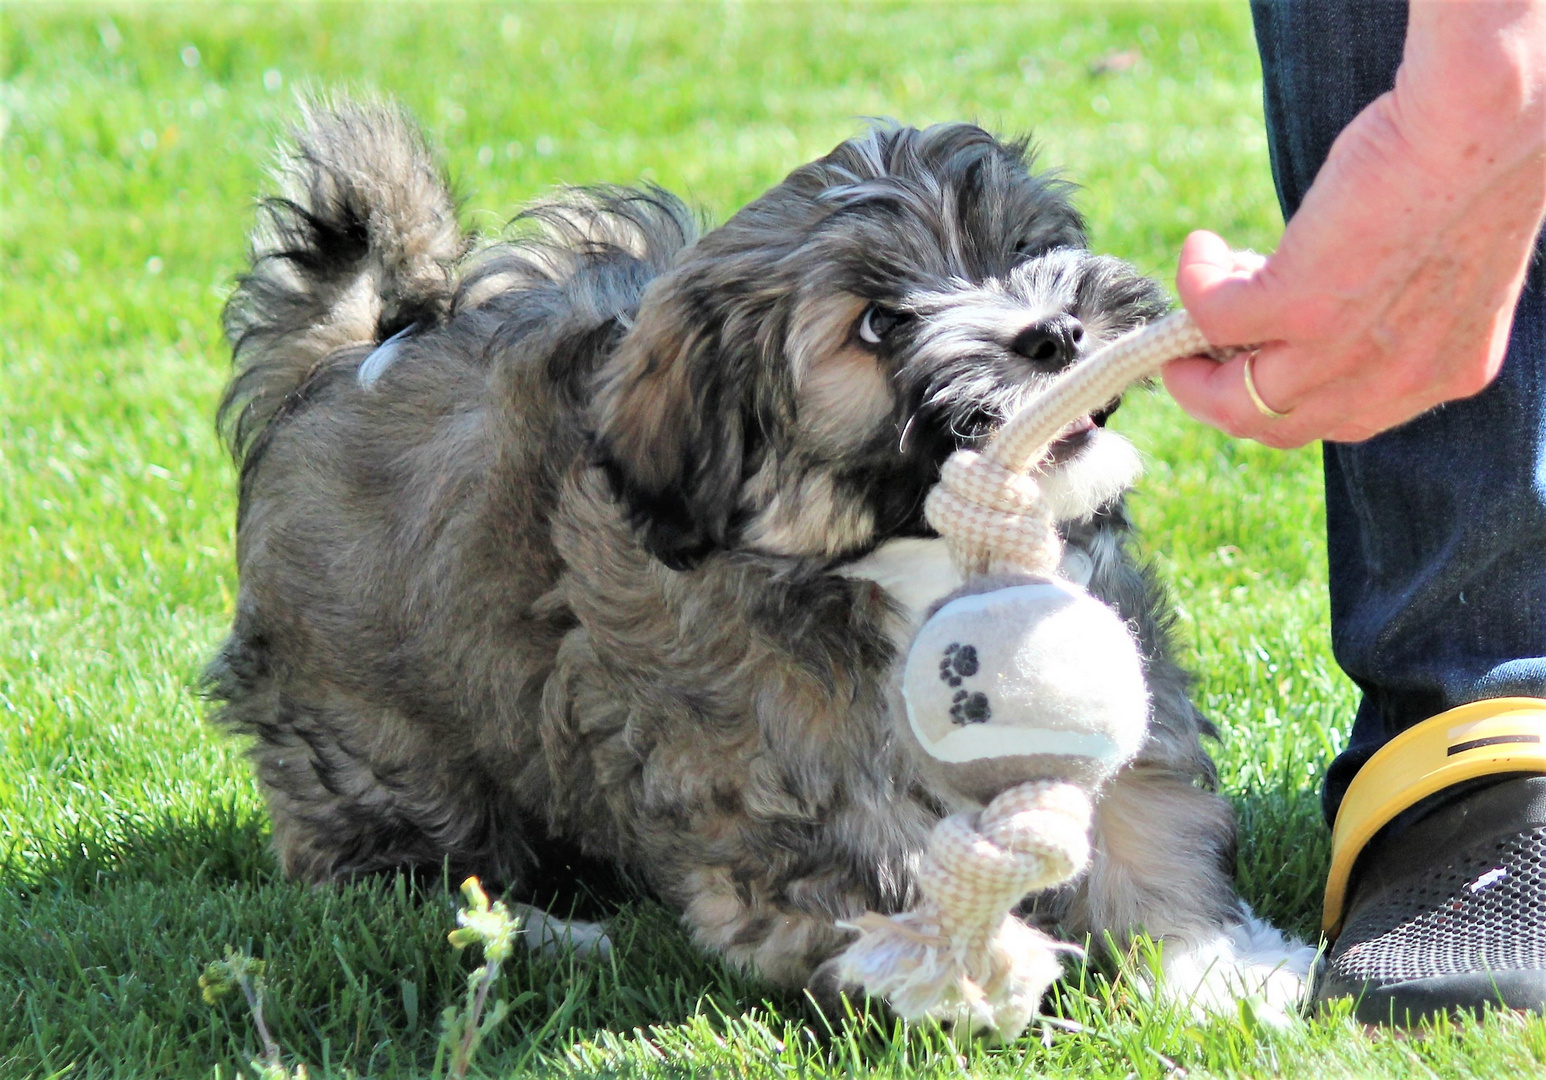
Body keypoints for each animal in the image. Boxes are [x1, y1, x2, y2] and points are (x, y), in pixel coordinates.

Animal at [205, 99, 1311, 1013]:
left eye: (1023, 250)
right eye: (879, 322)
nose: (1052, 334)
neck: (913, 561)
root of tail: (345, 363)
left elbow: (1148, 822)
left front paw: (1216, 969)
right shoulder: (758, 770)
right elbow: (849, 869)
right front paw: (955, 962)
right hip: (376, 735)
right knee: (385, 868)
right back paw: (541, 932)